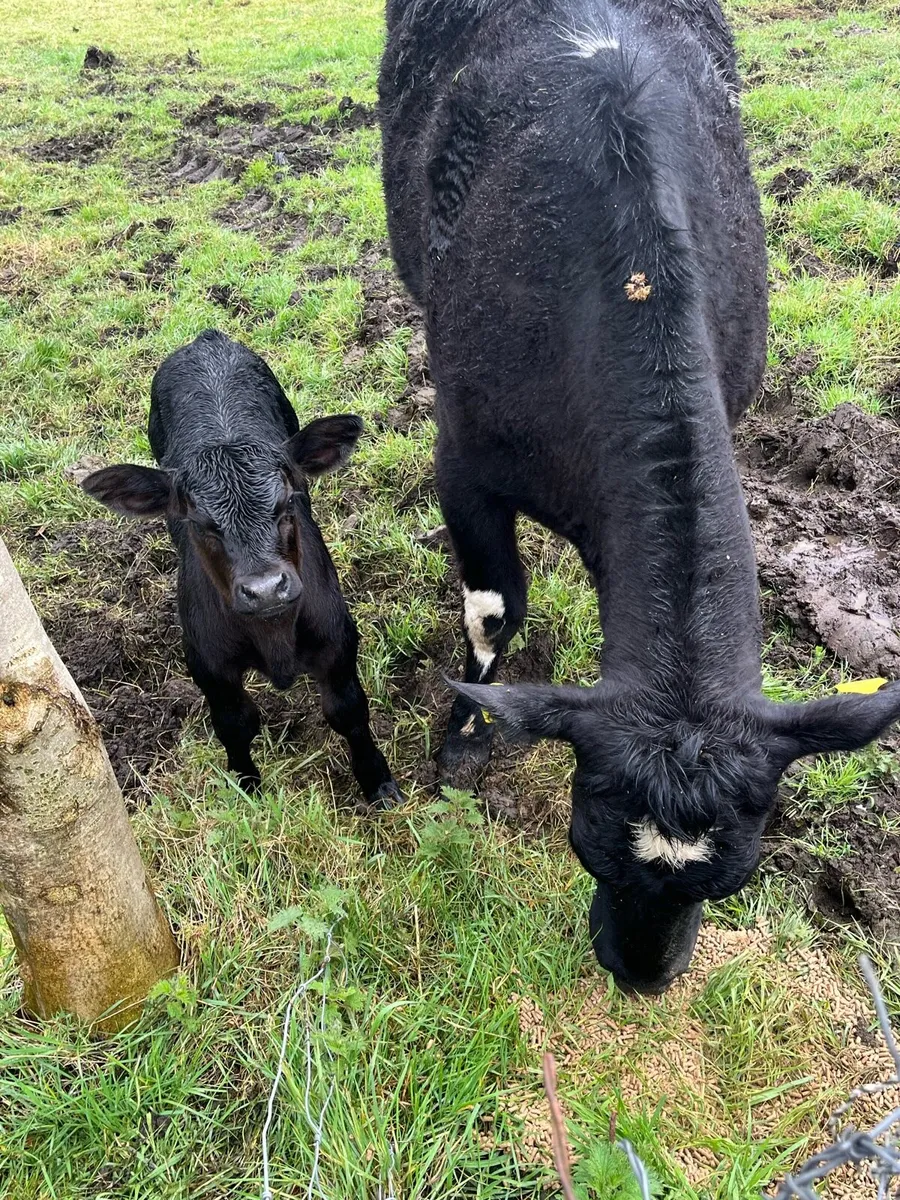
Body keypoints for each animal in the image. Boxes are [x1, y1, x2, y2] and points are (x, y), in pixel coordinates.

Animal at [81, 330, 402, 809]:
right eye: (198, 521)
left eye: (287, 500)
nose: (266, 588)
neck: (275, 636)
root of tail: (207, 339)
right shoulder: (208, 665)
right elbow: (234, 724)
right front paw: (246, 784)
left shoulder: (339, 640)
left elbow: (348, 712)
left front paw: (377, 782)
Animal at [379, 0, 900, 991]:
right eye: (588, 843)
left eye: (734, 876)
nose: (644, 976)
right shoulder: (463, 458)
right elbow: (493, 610)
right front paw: (464, 740)